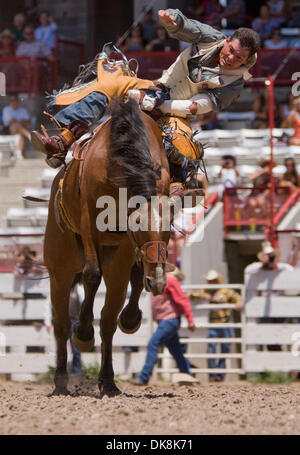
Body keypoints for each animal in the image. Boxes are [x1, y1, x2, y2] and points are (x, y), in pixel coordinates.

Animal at [44, 99, 173, 396]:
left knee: (107, 321)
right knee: (61, 325)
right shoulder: (89, 222)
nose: (160, 281)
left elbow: (127, 288)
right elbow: (92, 276)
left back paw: (108, 381)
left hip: (115, 261)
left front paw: (131, 318)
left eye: (170, 224)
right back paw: (61, 381)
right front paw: (82, 334)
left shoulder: (125, 250)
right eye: (137, 222)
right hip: (59, 270)